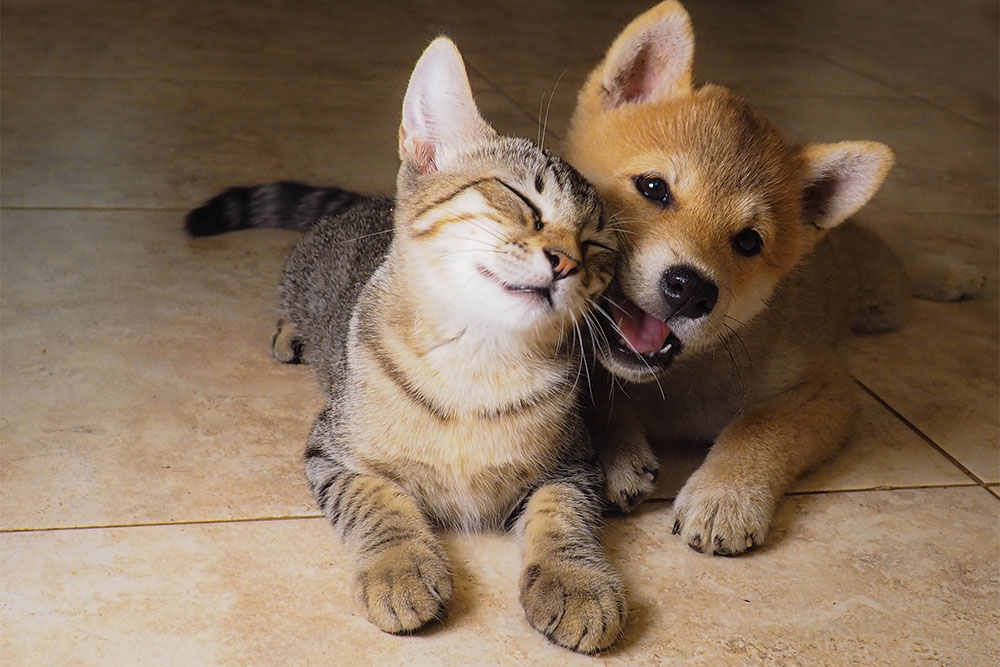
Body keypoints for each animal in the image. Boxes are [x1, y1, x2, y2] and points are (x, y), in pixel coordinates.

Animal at [186, 38, 626, 654]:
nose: (566, 262)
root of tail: (362, 202)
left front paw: (576, 580)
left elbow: (565, 517)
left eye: (599, 246)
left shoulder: (575, 465)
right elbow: (379, 502)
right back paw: (292, 333)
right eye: (517, 196)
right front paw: (399, 569)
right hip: (304, 278)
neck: (476, 363)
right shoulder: (332, 452)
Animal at [565, 1, 985, 556]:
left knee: (897, 265)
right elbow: (600, 394)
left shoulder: (824, 386)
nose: (692, 289)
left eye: (749, 242)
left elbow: (757, 429)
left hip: (882, 302)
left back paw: (951, 272)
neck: (673, 383)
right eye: (653, 188)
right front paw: (618, 453)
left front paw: (725, 496)